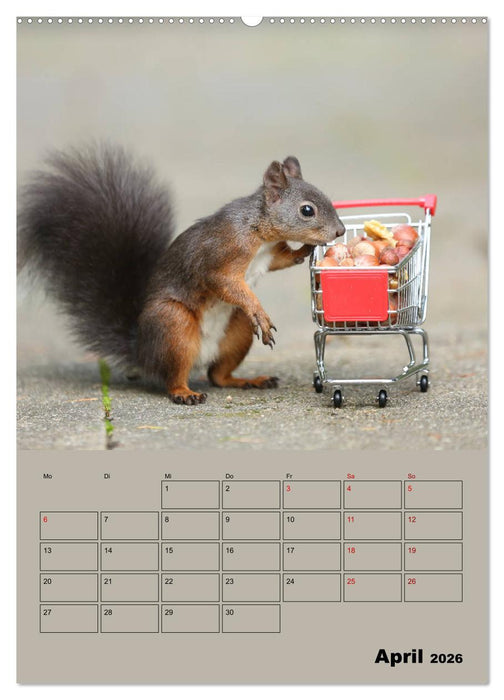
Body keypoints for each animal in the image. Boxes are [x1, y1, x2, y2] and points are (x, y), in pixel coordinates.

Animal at [18, 144, 345, 405]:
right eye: (307, 210)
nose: (340, 231)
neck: (257, 231)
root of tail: (142, 352)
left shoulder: (270, 254)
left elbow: (283, 259)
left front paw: (307, 249)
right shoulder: (221, 257)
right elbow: (225, 283)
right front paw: (258, 310)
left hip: (236, 330)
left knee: (218, 376)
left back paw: (249, 380)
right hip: (173, 325)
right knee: (173, 377)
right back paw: (184, 393)